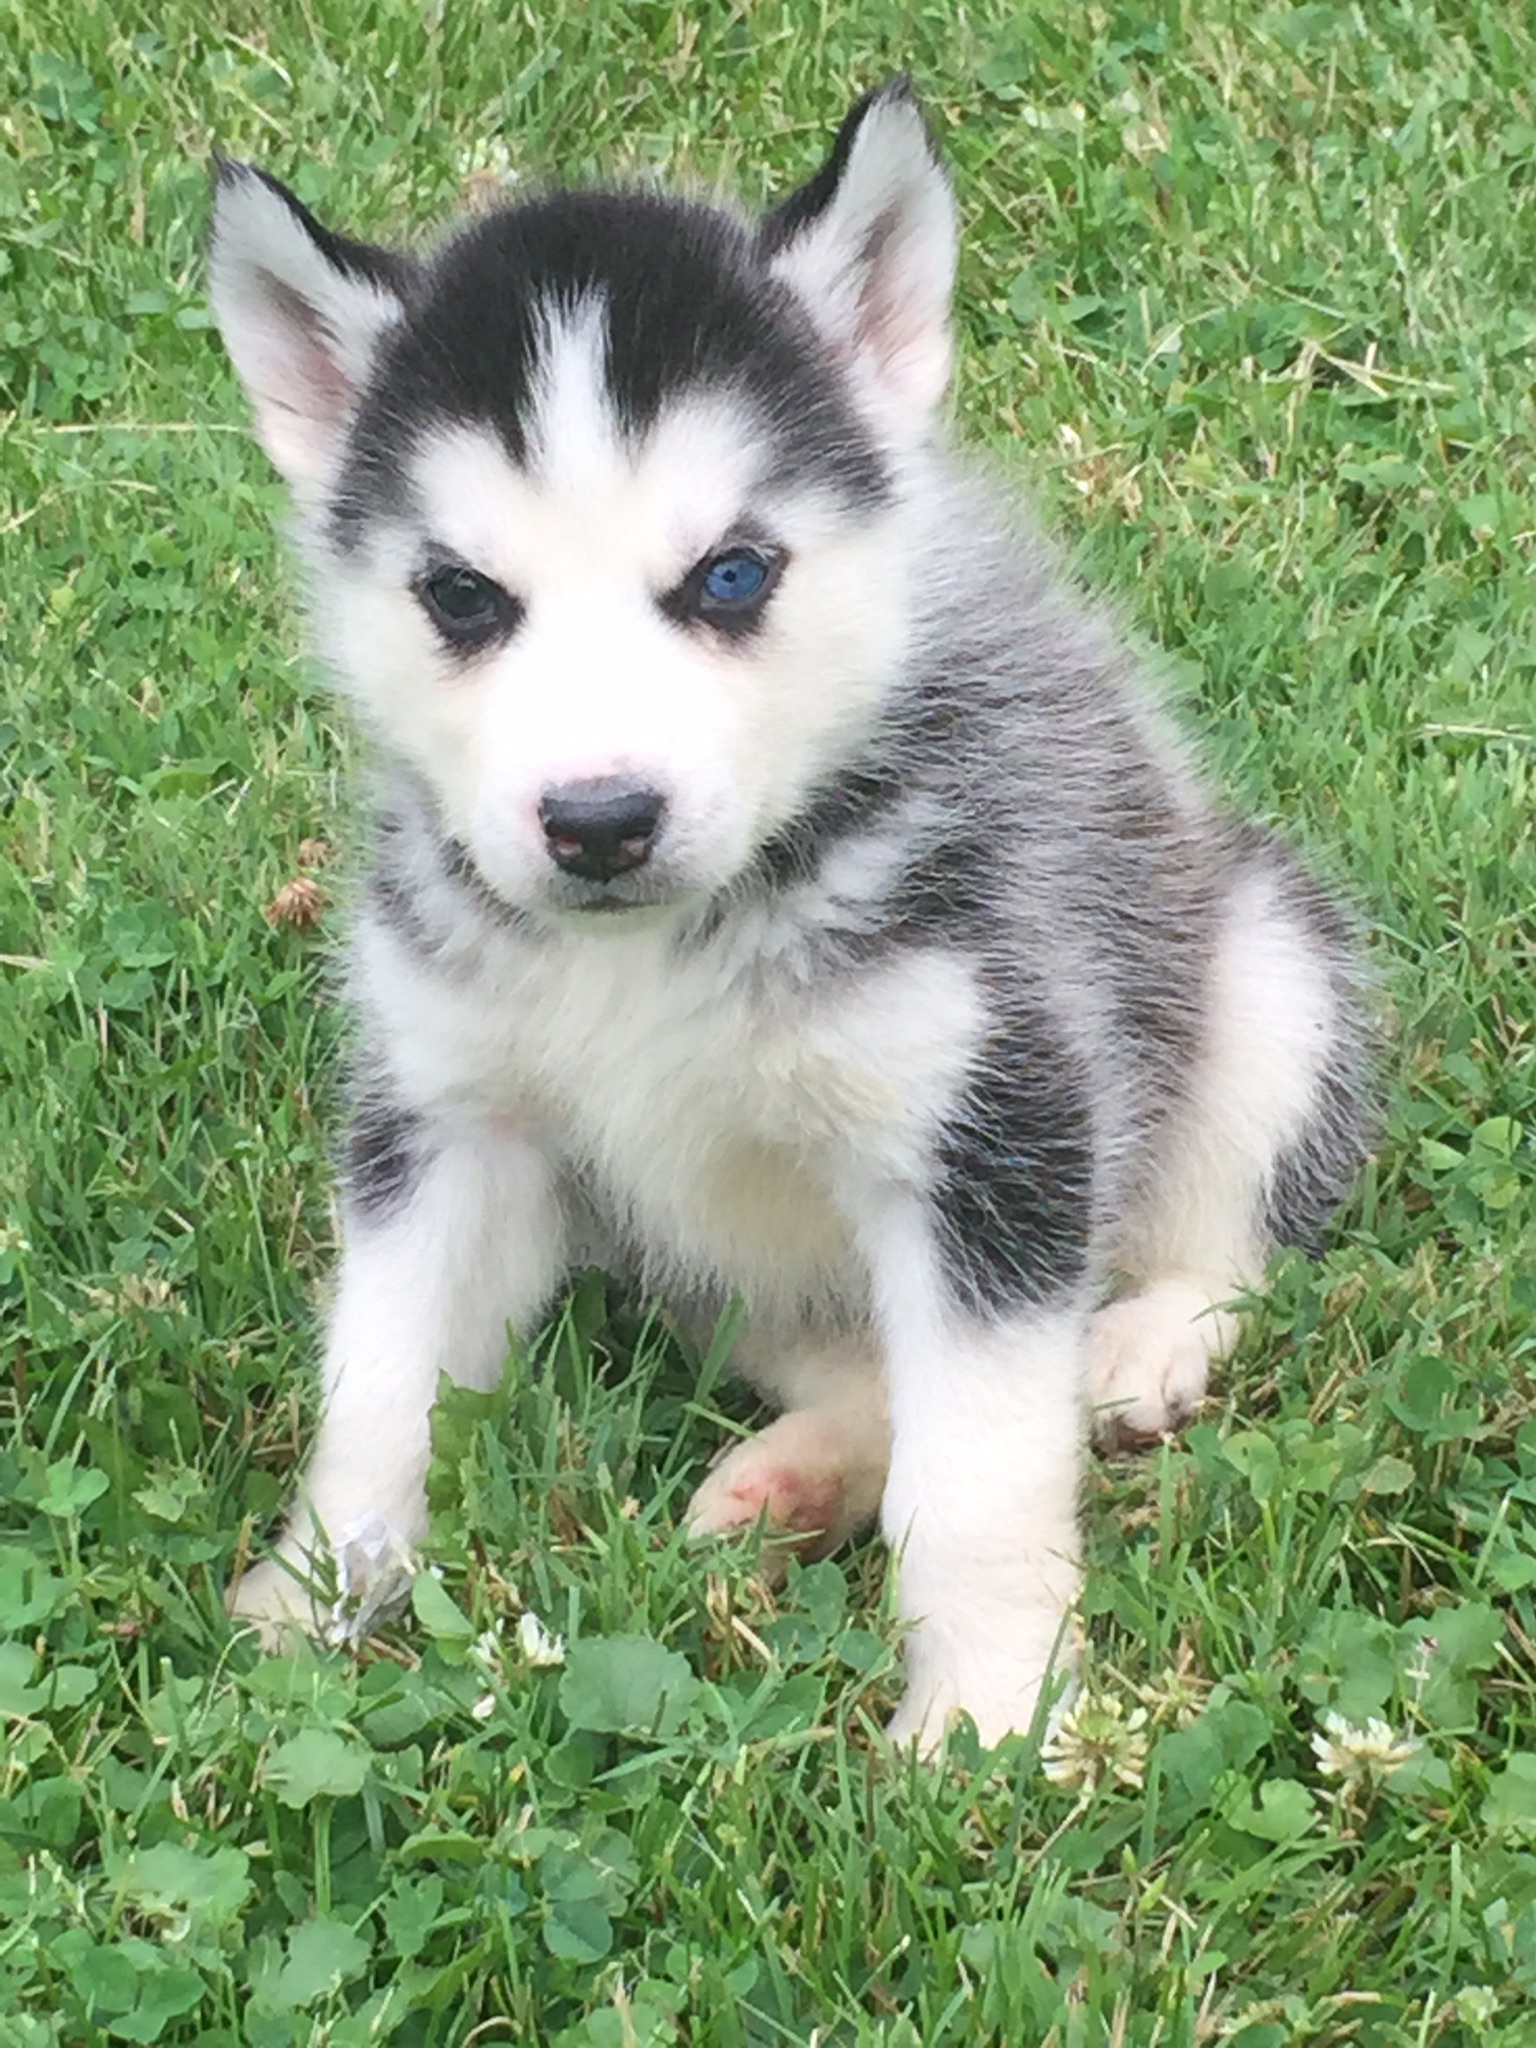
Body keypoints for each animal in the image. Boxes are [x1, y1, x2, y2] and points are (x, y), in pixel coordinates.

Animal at [207, 79, 1368, 1744]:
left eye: (732, 575)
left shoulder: (990, 1126)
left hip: (1262, 960)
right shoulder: (446, 1114)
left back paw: (1146, 1341)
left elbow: (982, 1473)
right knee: (863, 1371)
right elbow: (379, 1379)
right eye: (463, 597)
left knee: (1218, 1236)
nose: (599, 822)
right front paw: (310, 1601)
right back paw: (796, 1481)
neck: (644, 956)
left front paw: (990, 1717)